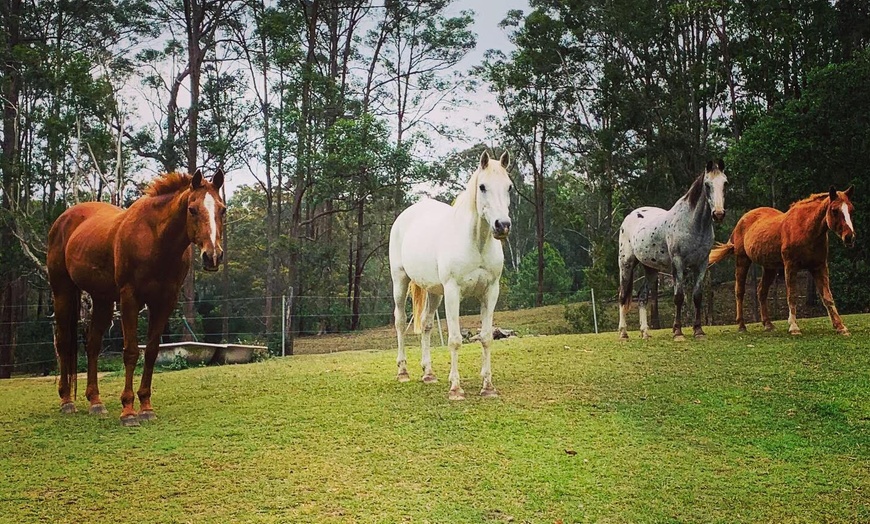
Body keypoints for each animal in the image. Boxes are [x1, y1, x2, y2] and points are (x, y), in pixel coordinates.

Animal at [48, 169, 227, 426]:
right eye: (192, 209)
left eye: (222, 209)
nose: (212, 256)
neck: (155, 239)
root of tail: (62, 219)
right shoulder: (129, 298)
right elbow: (131, 352)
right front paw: (128, 411)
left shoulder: (164, 302)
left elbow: (151, 351)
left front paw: (146, 406)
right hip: (62, 291)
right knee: (63, 343)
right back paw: (66, 401)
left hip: (102, 300)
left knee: (92, 345)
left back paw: (96, 402)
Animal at [392, 151, 516, 402]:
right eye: (482, 186)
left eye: (509, 186)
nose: (502, 226)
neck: (475, 242)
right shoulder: (452, 292)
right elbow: (456, 340)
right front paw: (456, 389)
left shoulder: (491, 292)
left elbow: (486, 337)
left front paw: (488, 387)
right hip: (400, 281)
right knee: (400, 321)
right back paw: (403, 372)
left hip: (433, 292)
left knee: (426, 324)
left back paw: (428, 374)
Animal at [616, 160, 732, 340]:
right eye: (707, 185)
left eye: (725, 183)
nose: (718, 214)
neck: (692, 224)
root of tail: (630, 216)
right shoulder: (678, 263)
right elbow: (678, 297)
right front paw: (677, 332)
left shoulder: (702, 264)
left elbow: (697, 297)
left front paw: (698, 331)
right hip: (626, 264)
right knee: (622, 296)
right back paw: (623, 334)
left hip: (651, 269)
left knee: (642, 296)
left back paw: (645, 332)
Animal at [708, 186, 860, 336]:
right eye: (834, 210)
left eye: (851, 210)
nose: (849, 237)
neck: (805, 228)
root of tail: (742, 221)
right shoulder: (790, 266)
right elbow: (791, 295)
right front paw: (794, 327)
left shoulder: (819, 267)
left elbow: (828, 297)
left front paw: (840, 327)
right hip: (742, 261)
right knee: (740, 291)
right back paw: (741, 325)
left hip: (770, 268)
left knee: (761, 291)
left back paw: (768, 324)